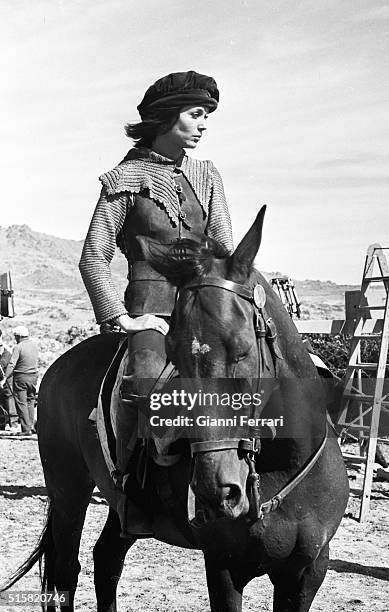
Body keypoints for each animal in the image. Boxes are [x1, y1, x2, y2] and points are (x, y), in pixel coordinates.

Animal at [1, 208, 348, 608]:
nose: (216, 492)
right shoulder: (224, 566)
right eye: (176, 358)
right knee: (65, 572)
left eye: (243, 350)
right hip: (67, 490)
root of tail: (59, 366)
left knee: (106, 560)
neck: (284, 462)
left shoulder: (307, 572)